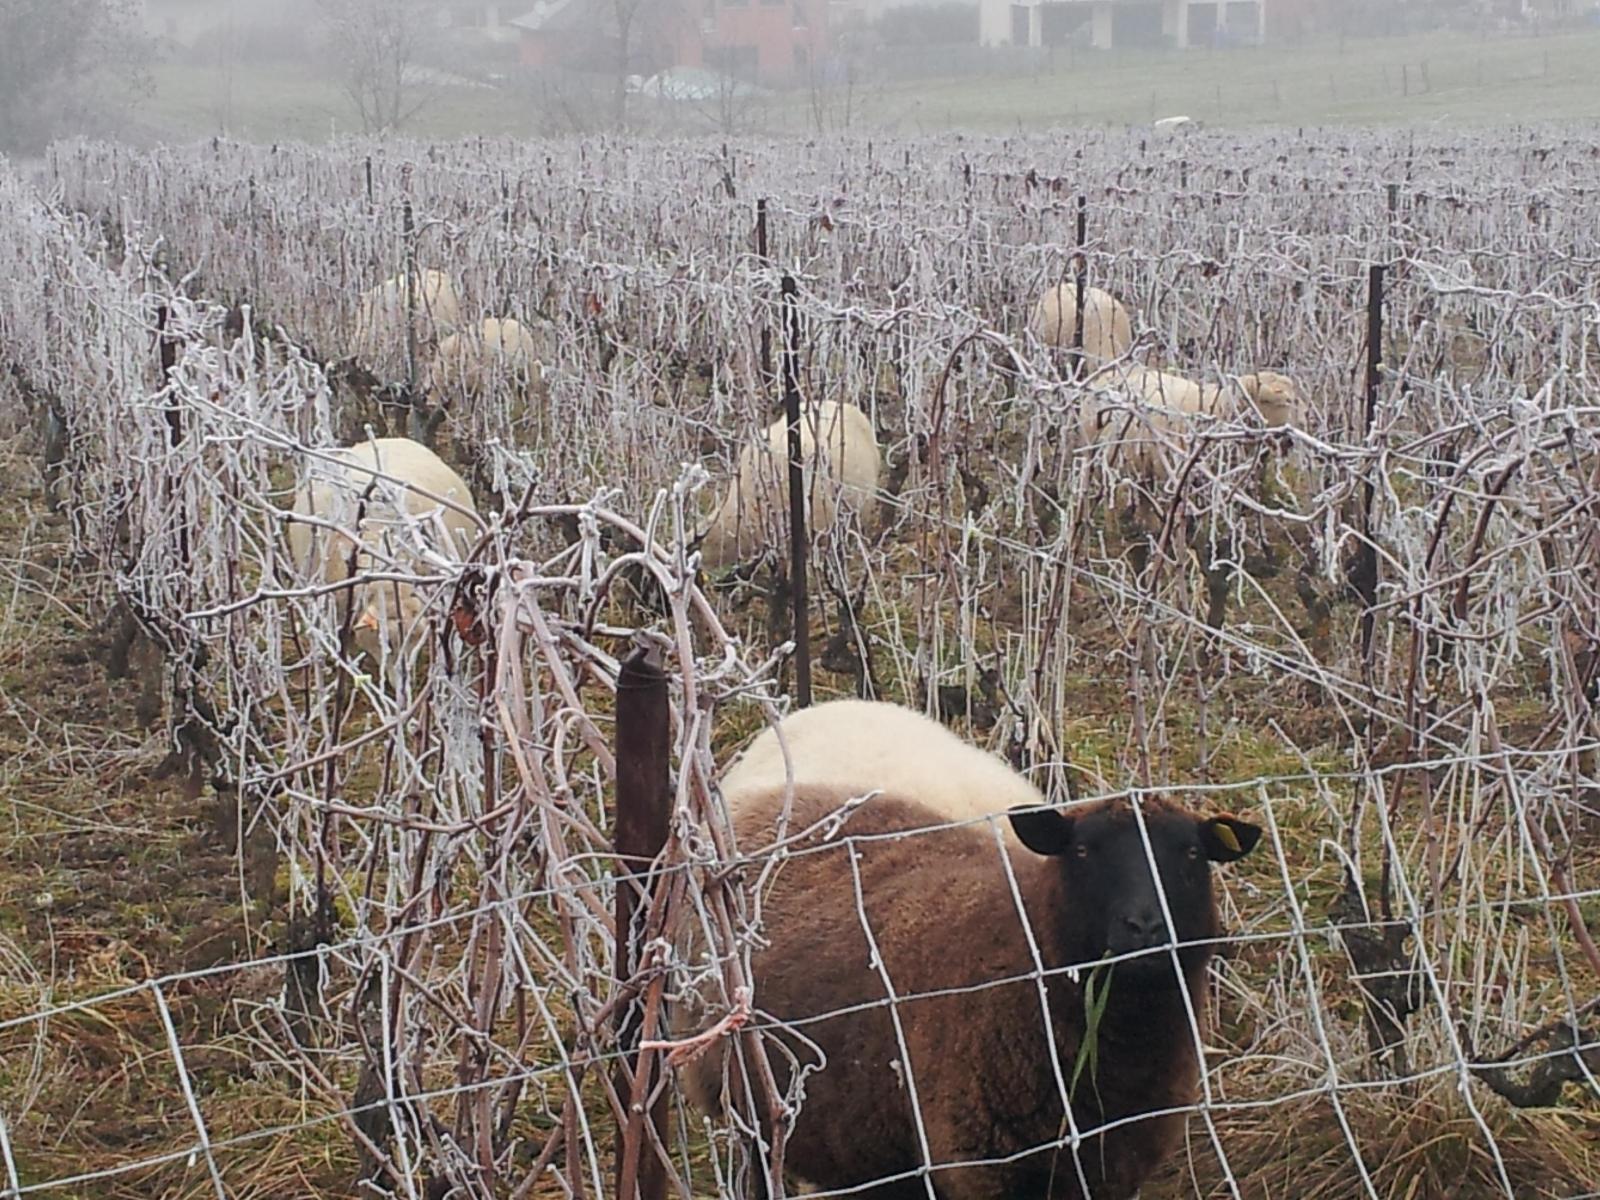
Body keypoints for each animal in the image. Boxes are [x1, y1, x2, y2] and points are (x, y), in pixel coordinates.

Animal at [681, 700, 1254, 1196]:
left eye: (1192, 854)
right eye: (1083, 851)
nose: (1145, 926)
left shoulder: (1113, 1165)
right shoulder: (980, 1164)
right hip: (750, 1102)